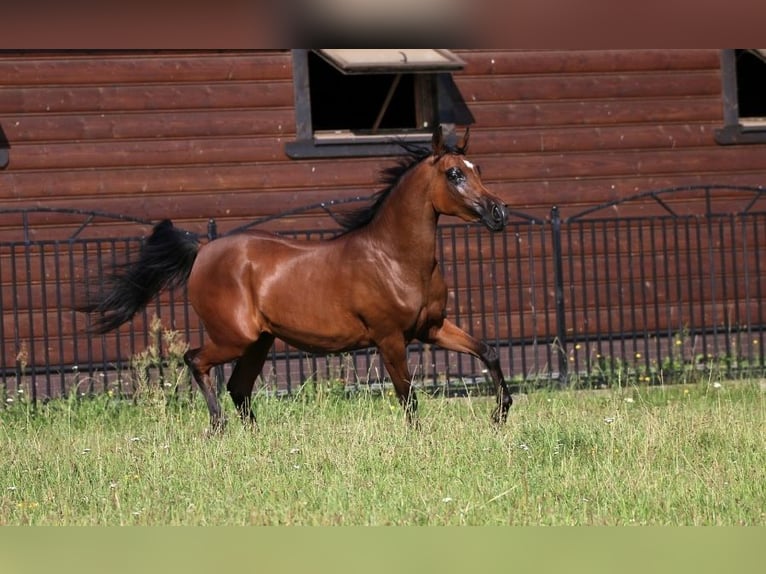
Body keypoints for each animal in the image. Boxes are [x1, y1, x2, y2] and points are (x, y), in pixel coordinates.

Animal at [79, 126, 513, 431]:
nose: (499, 213)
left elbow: (487, 351)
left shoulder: (432, 328)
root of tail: (202, 252)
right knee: (196, 361)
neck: (395, 258)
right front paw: (419, 438)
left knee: (238, 387)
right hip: (234, 338)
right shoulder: (389, 339)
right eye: (454, 174)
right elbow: (408, 396)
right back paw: (217, 427)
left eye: (478, 169)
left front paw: (500, 414)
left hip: (259, 342)